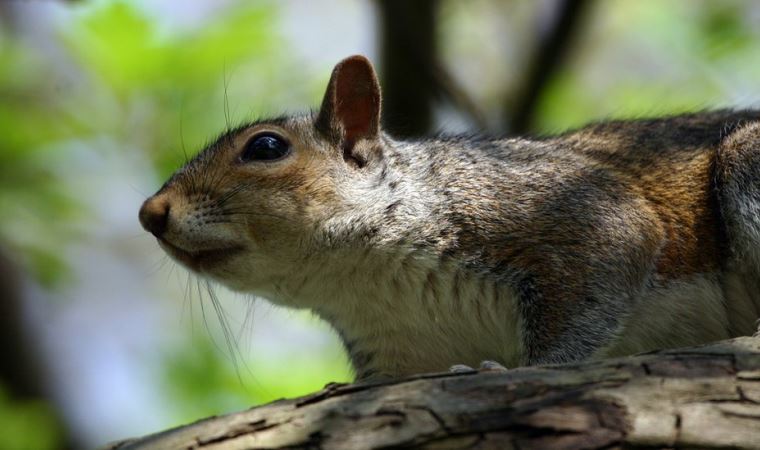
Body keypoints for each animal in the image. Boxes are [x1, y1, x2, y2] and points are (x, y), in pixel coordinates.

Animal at [138, 55, 760, 380]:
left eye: (265, 147)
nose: (150, 213)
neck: (367, 281)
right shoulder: (396, 357)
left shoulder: (572, 213)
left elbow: (601, 276)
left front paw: (515, 371)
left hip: (746, 163)